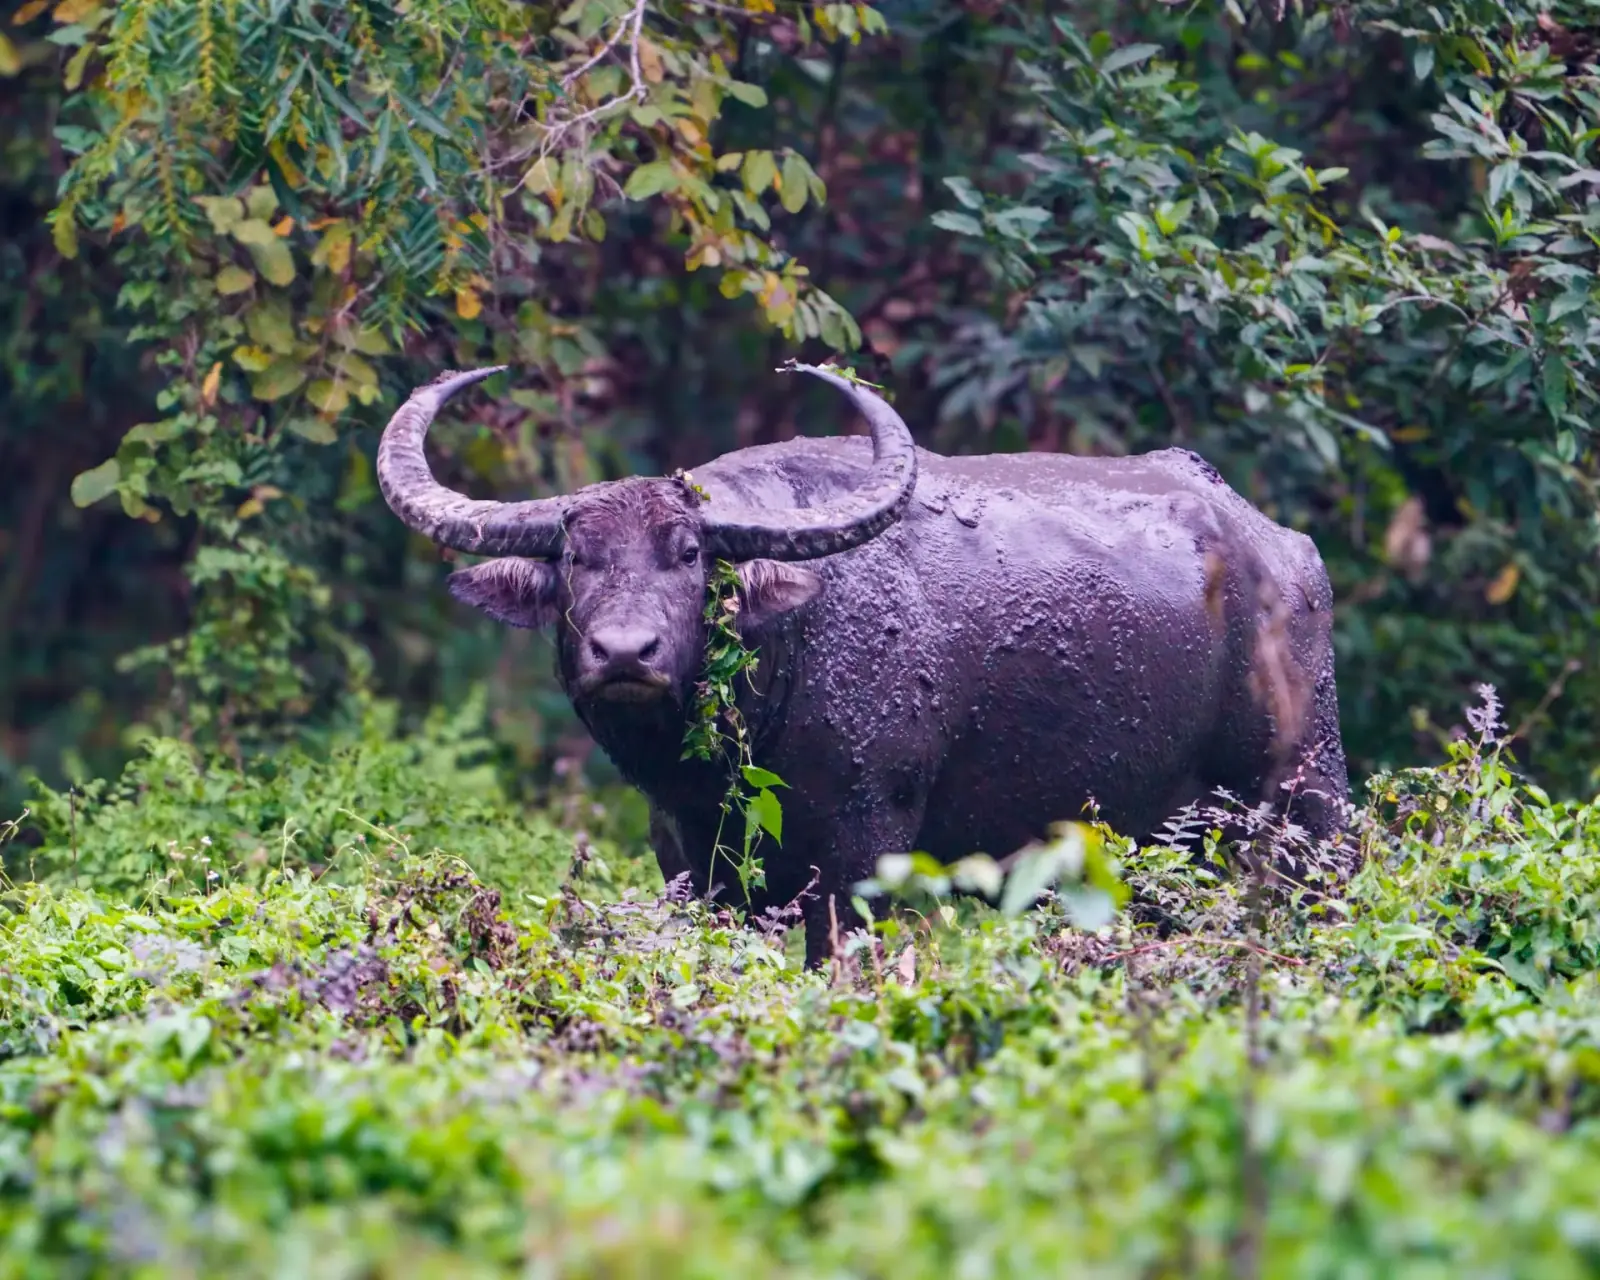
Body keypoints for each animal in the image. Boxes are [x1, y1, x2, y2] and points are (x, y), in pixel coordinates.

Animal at [378, 363, 1349, 964]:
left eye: (689, 554)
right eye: (577, 558)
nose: (624, 652)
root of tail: (1285, 551)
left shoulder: (862, 853)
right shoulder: (686, 858)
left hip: (1310, 806)